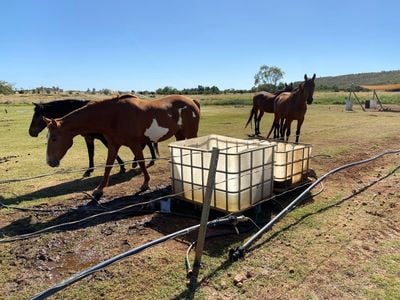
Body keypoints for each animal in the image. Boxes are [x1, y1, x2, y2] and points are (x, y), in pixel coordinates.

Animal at [28, 98, 158, 177]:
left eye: (37, 115)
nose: (31, 132)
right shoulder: (89, 138)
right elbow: (91, 153)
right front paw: (89, 170)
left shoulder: (104, 138)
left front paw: (122, 166)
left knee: (148, 143)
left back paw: (149, 160)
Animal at [43, 94, 200, 199]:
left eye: (54, 138)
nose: (50, 162)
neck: (114, 116)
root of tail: (192, 101)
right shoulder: (113, 145)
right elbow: (108, 167)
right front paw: (99, 190)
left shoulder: (134, 144)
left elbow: (141, 163)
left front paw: (145, 184)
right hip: (179, 135)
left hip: (191, 134)